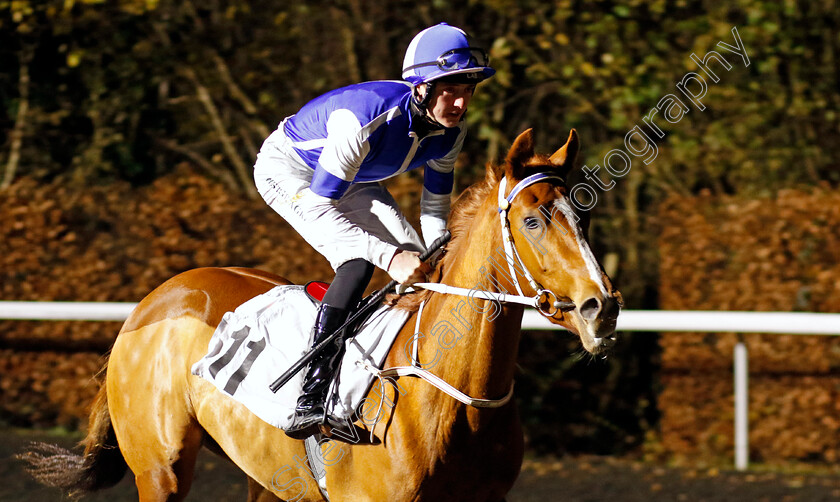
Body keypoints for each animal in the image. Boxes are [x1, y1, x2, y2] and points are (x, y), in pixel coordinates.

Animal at [23, 130, 620, 502]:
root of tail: (153, 301)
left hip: (265, 475)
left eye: (583, 215)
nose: (603, 307)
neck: (451, 396)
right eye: (533, 220)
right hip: (159, 469)